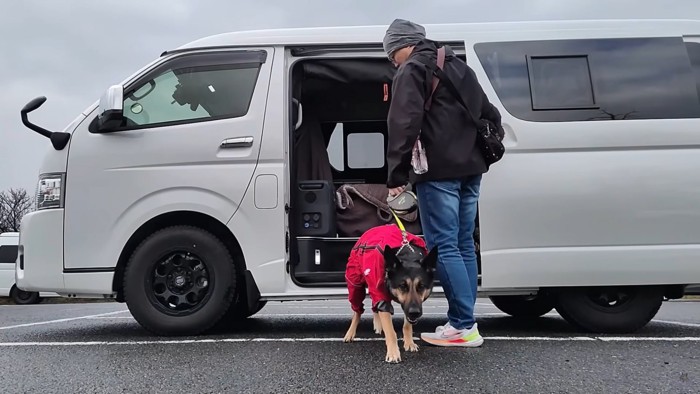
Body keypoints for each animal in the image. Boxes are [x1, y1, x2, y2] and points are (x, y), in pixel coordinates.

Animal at [344, 223, 438, 364]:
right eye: (402, 286)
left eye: (421, 286)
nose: (415, 313)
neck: (407, 255)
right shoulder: (383, 297)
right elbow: (391, 331)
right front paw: (393, 353)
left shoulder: (407, 306)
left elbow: (406, 325)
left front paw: (409, 342)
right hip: (355, 286)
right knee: (357, 311)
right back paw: (350, 333)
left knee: (375, 306)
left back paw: (378, 325)